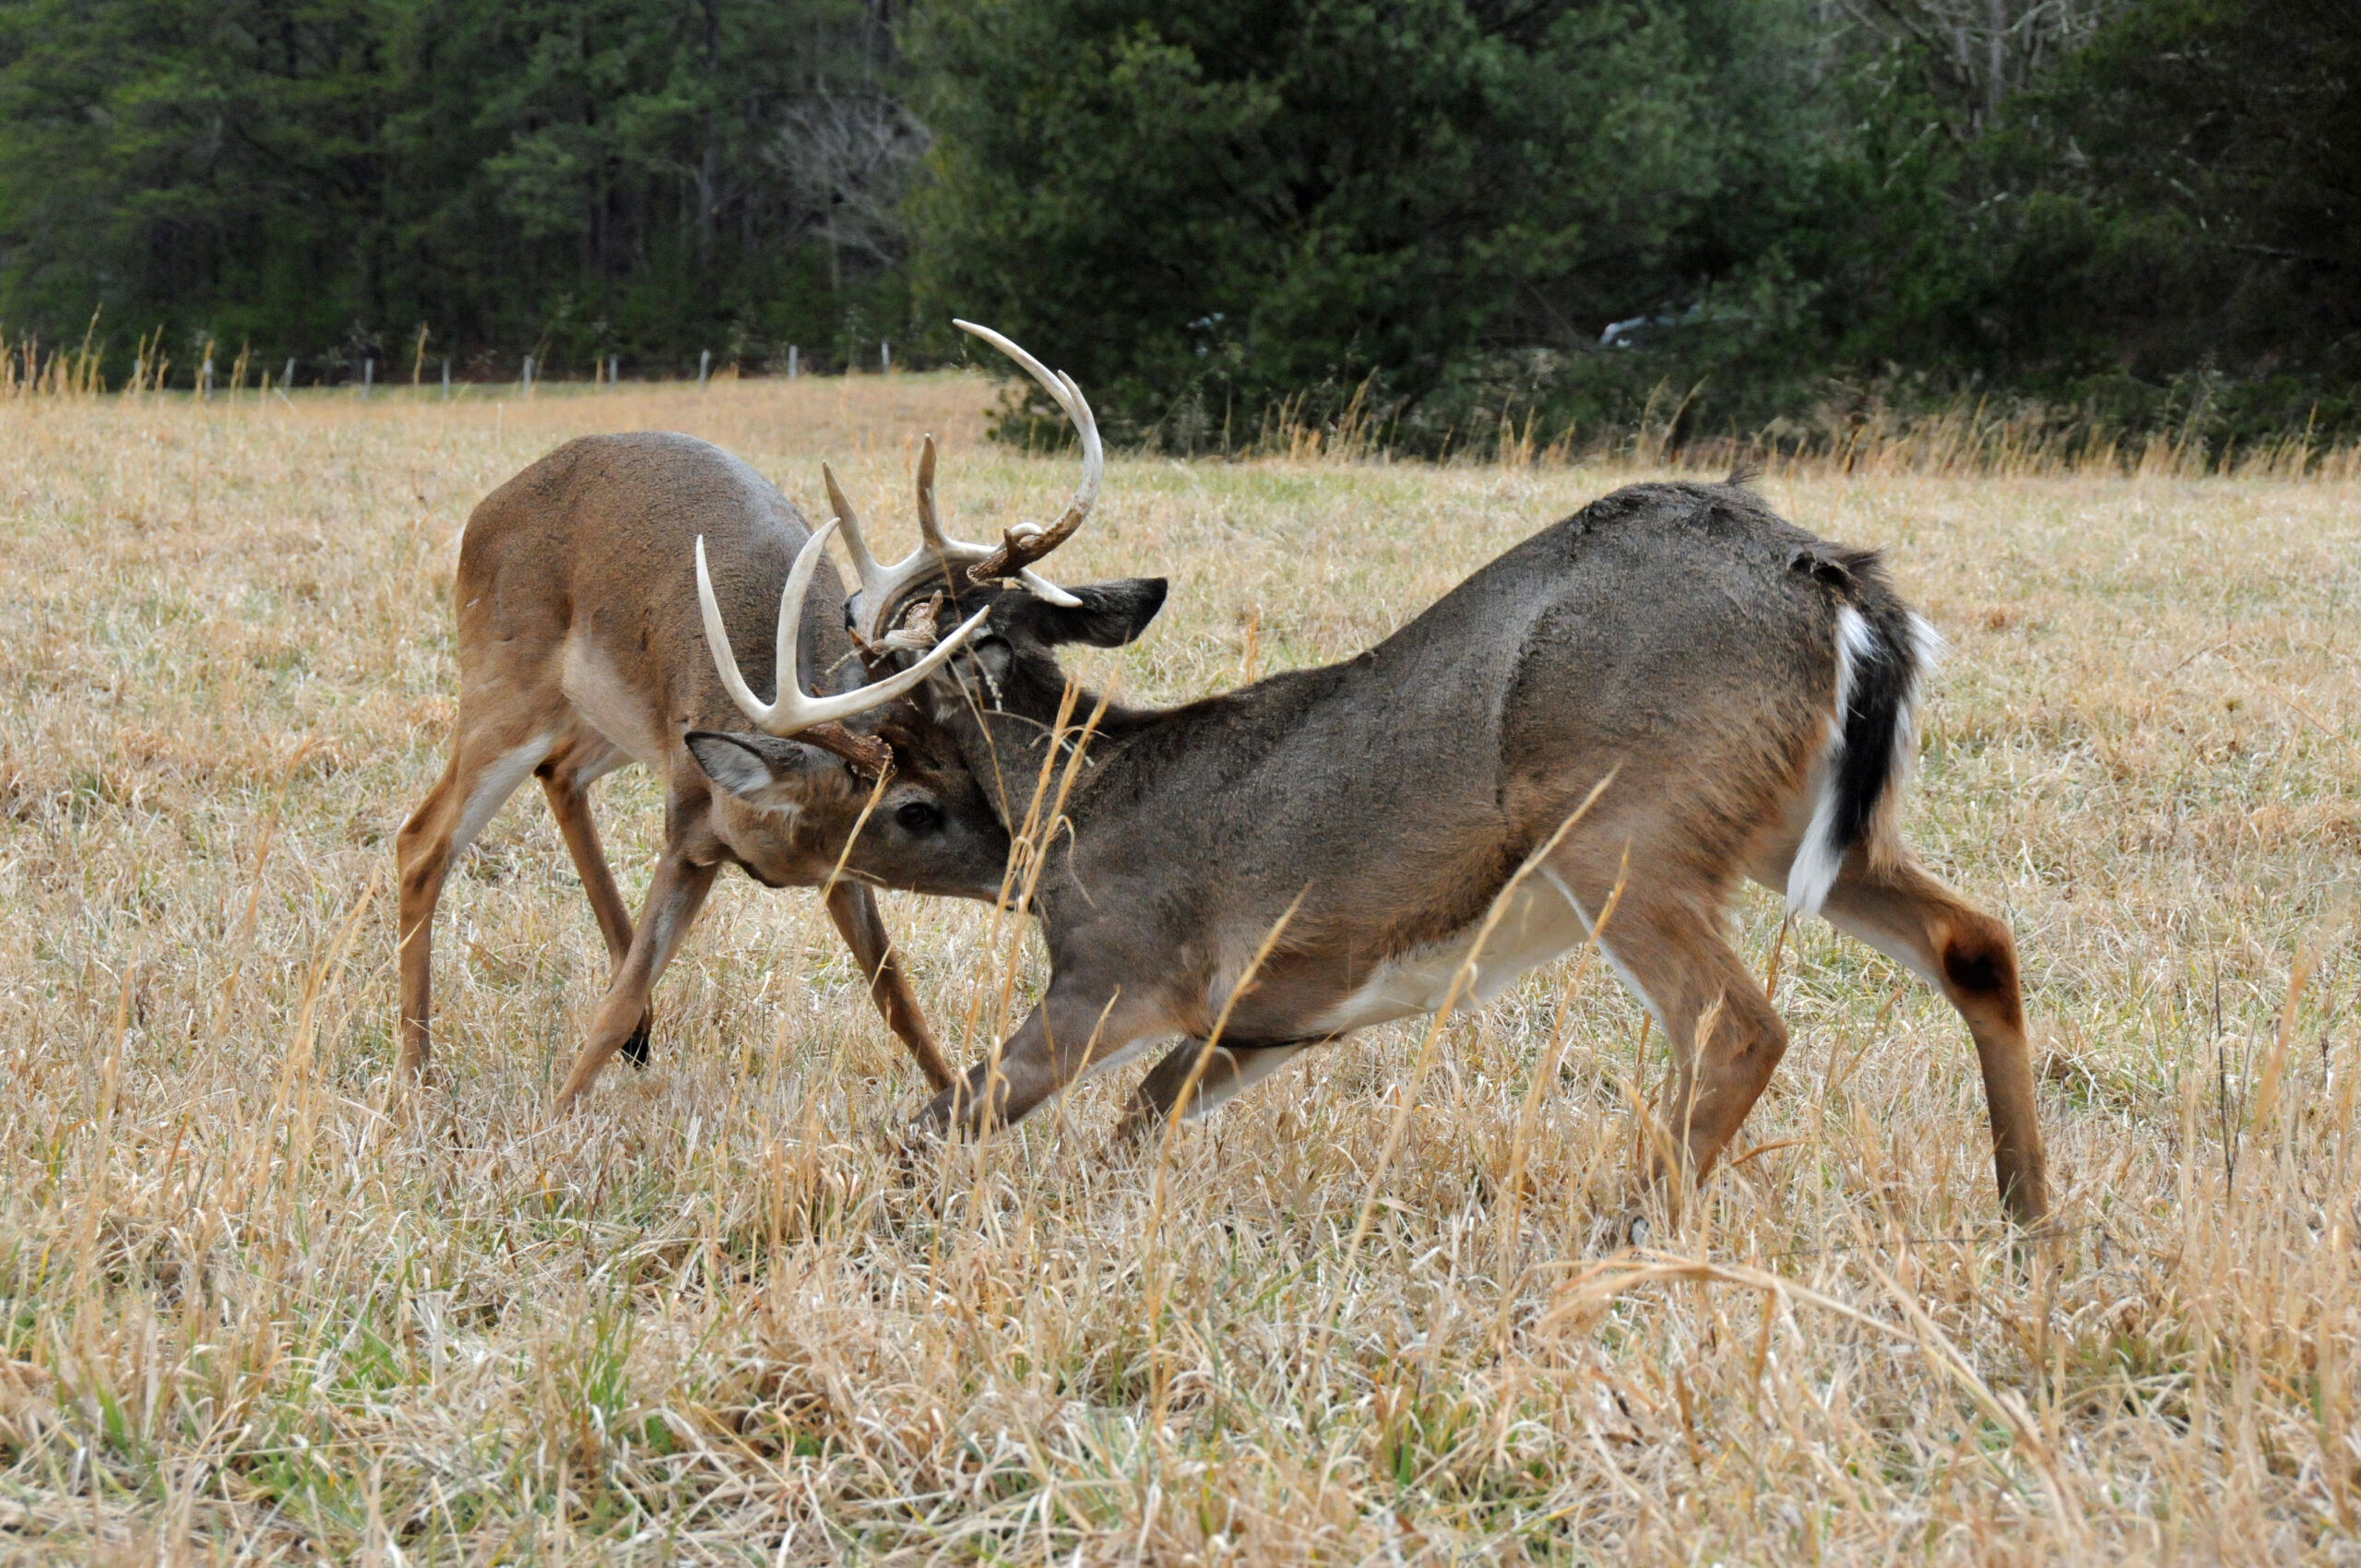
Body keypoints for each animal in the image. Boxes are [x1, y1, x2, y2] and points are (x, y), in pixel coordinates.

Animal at [391, 432, 1019, 1100]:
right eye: (915, 811)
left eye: (972, 774)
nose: (1019, 871)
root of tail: (486, 509)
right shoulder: (687, 834)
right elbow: (614, 1007)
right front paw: (555, 1117)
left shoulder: (839, 866)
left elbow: (896, 994)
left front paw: (964, 1106)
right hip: (507, 681)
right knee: (423, 840)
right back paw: (416, 1075)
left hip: (614, 718)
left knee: (559, 774)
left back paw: (636, 1030)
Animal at [727, 323, 2039, 1218]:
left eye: (887, 662)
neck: (1082, 802)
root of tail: (1827, 574)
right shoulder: (1273, 1018)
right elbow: (1130, 1136)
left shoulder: (1117, 971)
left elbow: (940, 1119)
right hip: (1786, 828)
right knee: (1975, 940)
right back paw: (2027, 1216)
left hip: (1622, 824)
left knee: (1736, 1025)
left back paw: (1620, 1240)